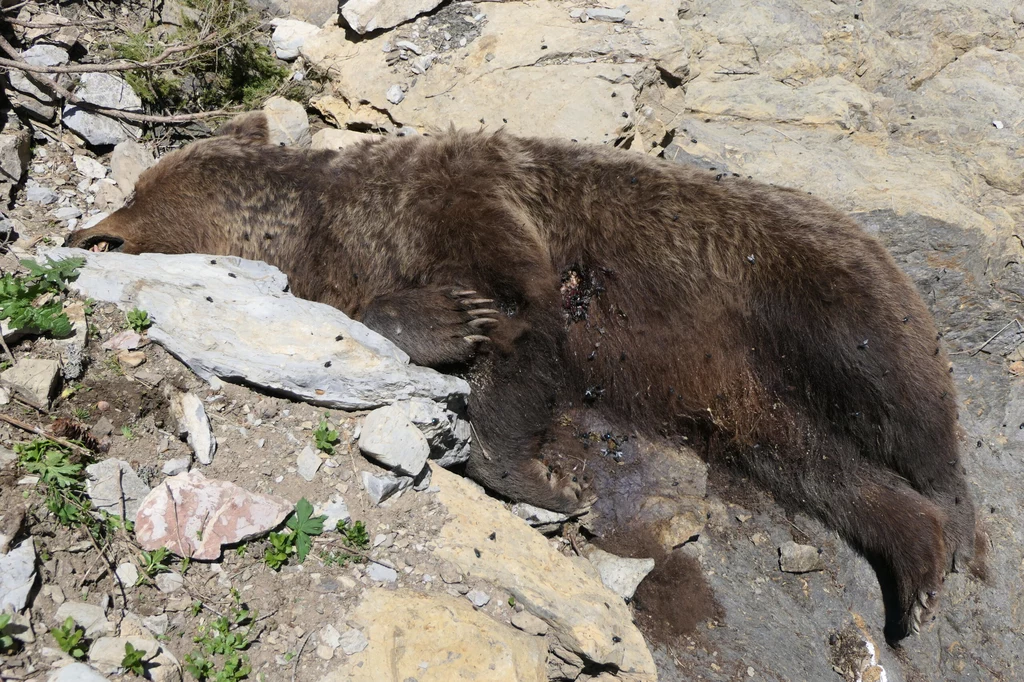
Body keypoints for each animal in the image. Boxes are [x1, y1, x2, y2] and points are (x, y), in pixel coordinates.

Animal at [66, 111, 974, 638]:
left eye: (138, 194)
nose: (89, 230)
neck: (338, 230)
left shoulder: (475, 206)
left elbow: (517, 316)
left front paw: (532, 467)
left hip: (806, 285)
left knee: (901, 395)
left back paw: (956, 518)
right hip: (756, 406)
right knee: (830, 472)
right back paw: (918, 564)